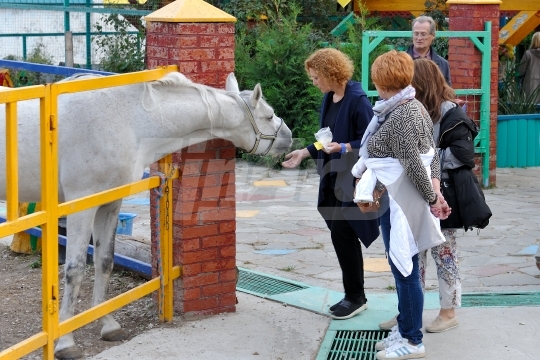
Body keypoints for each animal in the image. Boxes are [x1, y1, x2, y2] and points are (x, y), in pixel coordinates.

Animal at [0, 71, 292, 358]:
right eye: (268, 116)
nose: (289, 136)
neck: (127, 121)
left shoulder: (109, 203)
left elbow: (104, 261)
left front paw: (108, 325)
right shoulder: (81, 206)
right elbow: (75, 269)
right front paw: (66, 343)